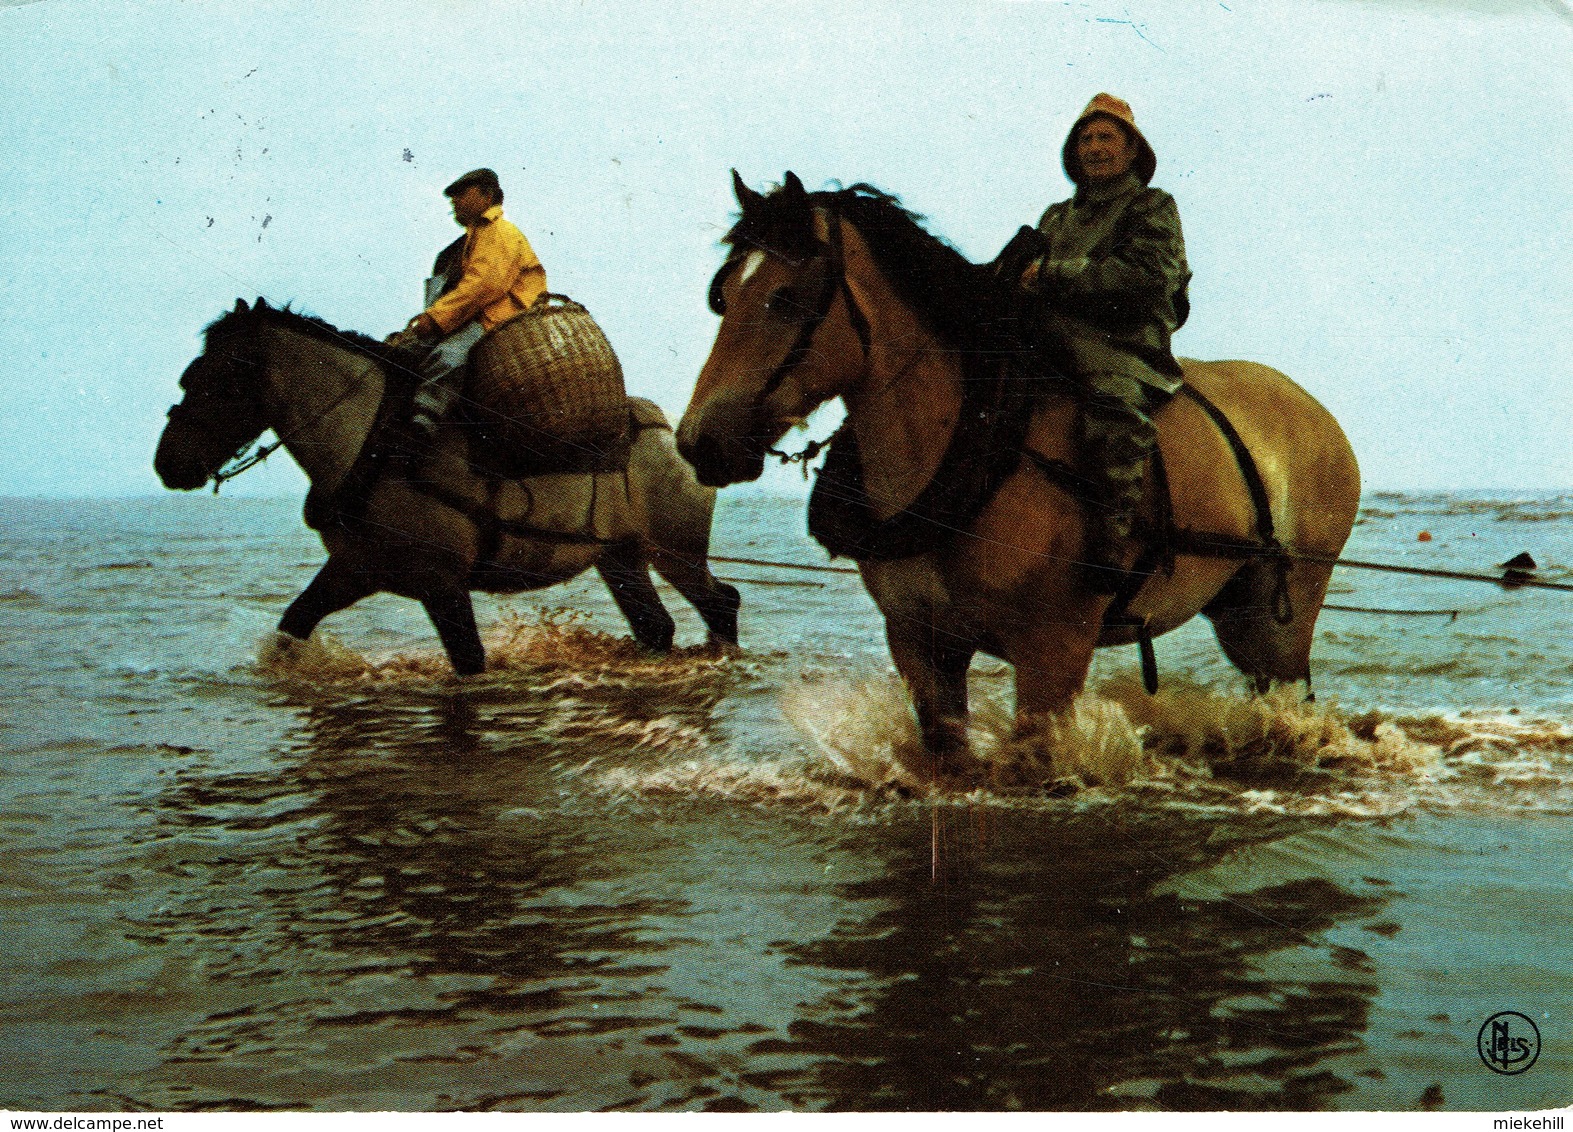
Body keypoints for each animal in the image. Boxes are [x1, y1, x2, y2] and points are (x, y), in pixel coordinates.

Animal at [156, 300, 739, 672]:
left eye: (223, 381)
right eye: (190, 375)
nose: (168, 464)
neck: (374, 441)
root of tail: (671, 435)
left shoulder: (442, 584)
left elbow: (469, 660)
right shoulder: (354, 568)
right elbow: (293, 624)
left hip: (676, 553)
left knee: (721, 603)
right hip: (621, 559)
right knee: (657, 627)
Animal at [682, 174, 1359, 779]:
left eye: (785, 298)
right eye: (723, 296)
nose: (698, 442)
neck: (977, 450)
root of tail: (1318, 415)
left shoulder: (1052, 654)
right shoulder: (920, 642)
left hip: (1283, 618)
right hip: (1239, 612)